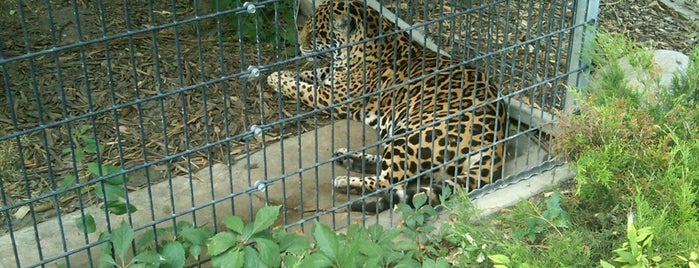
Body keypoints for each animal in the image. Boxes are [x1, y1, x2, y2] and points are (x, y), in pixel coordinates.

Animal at [266, 0, 506, 214]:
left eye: (316, 32)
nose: (299, 45)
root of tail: (497, 141)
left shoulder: (332, 96)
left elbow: (303, 89)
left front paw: (277, 78)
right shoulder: (332, 77)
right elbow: (313, 74)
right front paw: (280, 73)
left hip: (415, 130)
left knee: (392, 180)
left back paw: (345, 181)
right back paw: (348, 157)